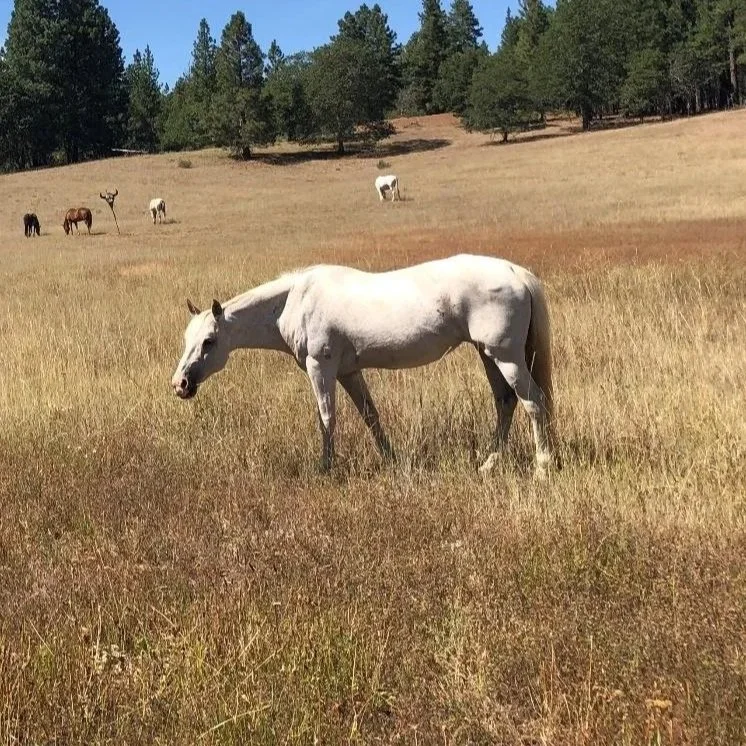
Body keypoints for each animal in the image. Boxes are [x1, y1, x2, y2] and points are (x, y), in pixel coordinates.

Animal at [171, 254, 556, 476]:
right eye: (186, 339)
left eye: (209, 342)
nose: (180, 384)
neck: (294, 299)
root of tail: (516, 272)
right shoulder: (348, 372)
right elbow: (370, 415)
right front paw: (391, 460)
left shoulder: (321, 368)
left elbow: (326, 418)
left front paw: (325, 469)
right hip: (488, 355)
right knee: (506, 403)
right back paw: (489, 464)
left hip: (505, 357)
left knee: (534, 403)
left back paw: (542, 466)